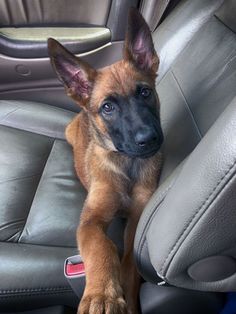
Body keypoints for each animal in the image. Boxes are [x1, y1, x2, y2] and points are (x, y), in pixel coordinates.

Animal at [47, 7, 162, 314]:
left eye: (145, 92)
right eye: (107, 107)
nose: (149, 138)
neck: (127, 166)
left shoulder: (136, 219)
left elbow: (129, 262)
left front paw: (126, 300)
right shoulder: (91, 220)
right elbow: (102, 247)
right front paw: (101, 294)